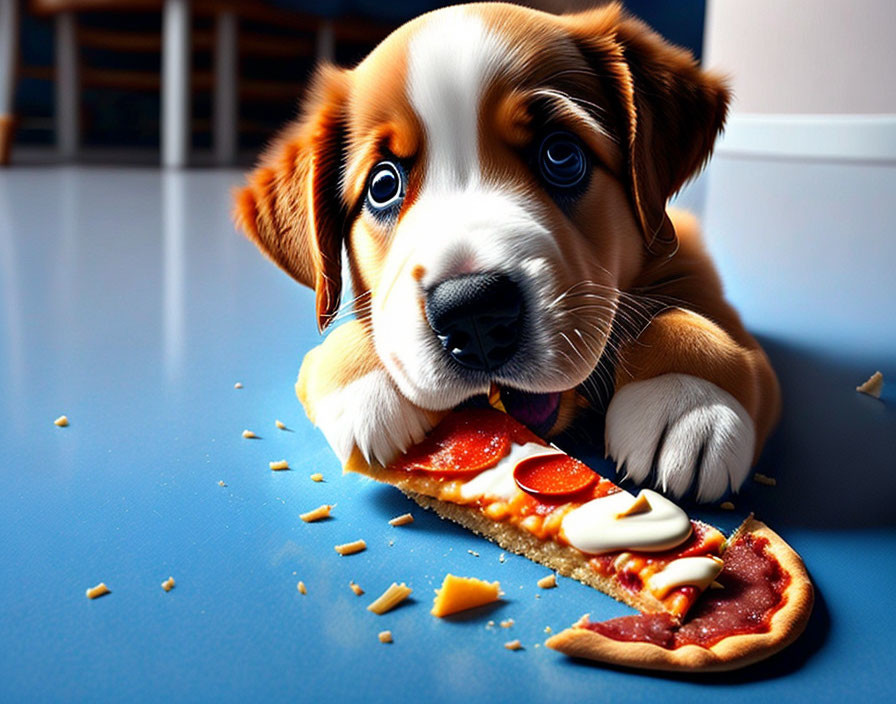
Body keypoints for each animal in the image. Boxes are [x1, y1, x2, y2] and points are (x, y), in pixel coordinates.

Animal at [234, 2, 780, 504]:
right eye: (383, 186)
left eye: (562, 156)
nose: (474, 313)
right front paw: (363, 380)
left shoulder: (687, 257)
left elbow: (696, 319)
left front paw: (689, 399)